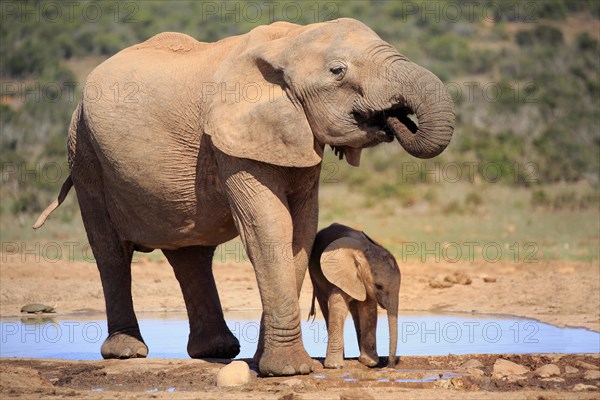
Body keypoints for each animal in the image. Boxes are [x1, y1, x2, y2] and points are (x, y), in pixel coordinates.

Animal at [308, 223, 400, 368]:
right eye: (379, 286)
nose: (389, 366)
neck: (363, 250)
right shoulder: (340, 274)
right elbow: (339, 308)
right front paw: (335, 366)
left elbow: (368, 309)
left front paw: (369, 362)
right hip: (314, 275)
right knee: (324, 305)